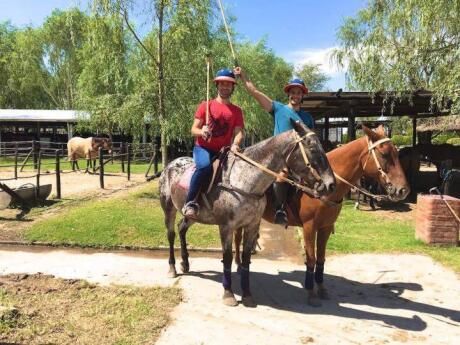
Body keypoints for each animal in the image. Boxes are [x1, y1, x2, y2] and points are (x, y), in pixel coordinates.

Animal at [235, 125, 408, 306]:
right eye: (384, 154)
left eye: (397, 153)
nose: (403, 190)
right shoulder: (309, 227)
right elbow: (311, 259)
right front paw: (311, 292)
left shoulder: (325, 228)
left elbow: (321, 259)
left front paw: (322, 289)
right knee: (237, 239)